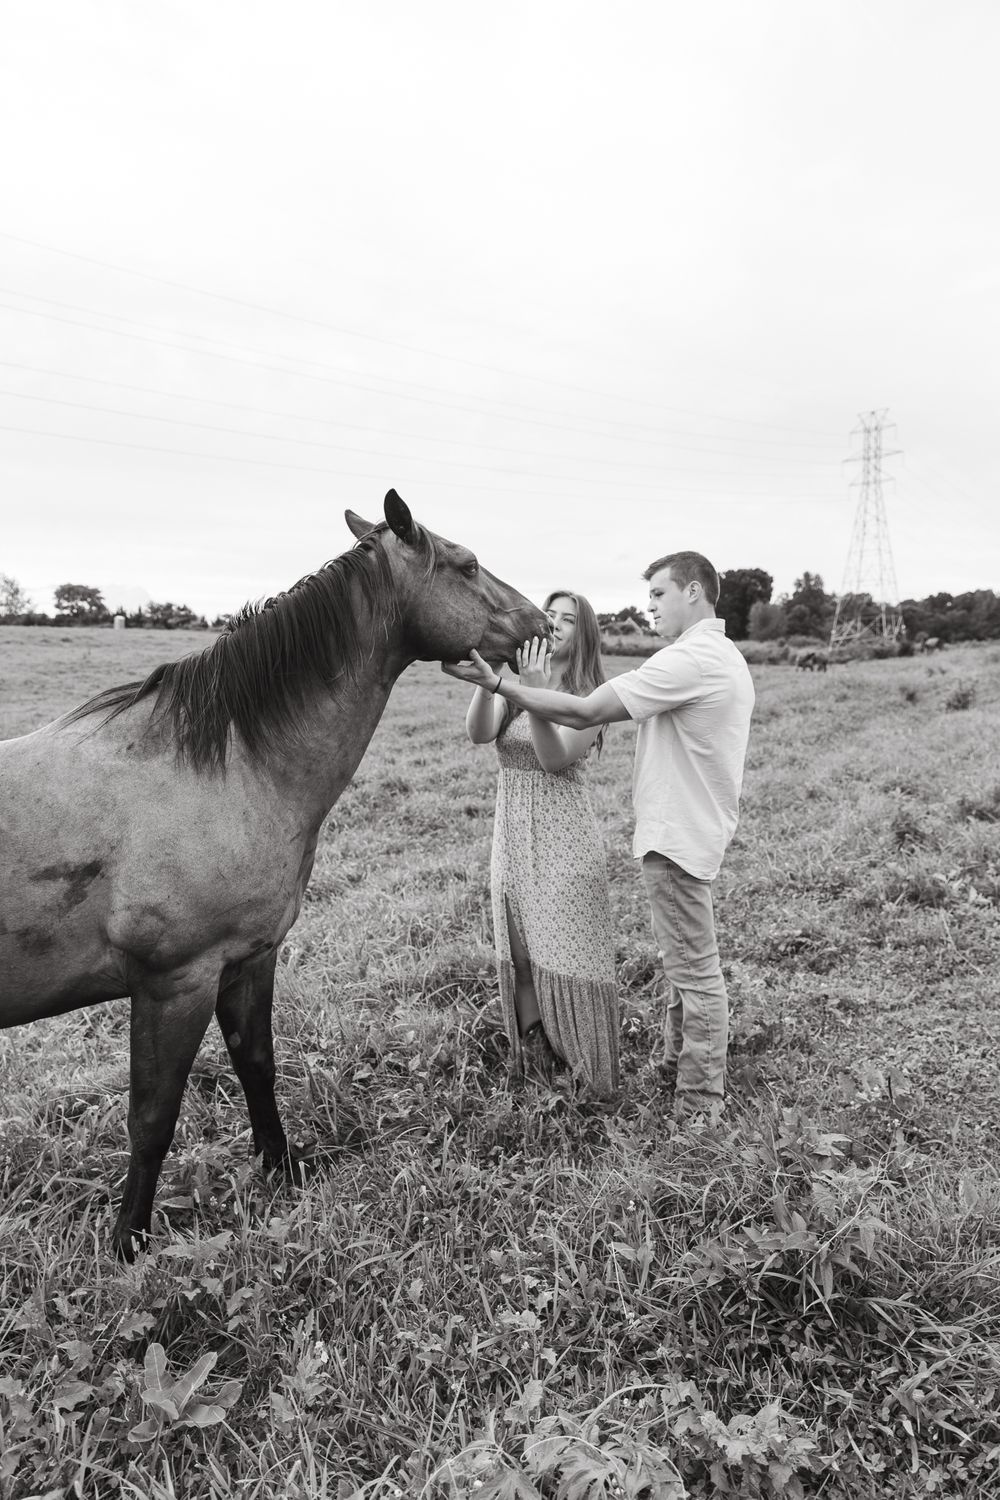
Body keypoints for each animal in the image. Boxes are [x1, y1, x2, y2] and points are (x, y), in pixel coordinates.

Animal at [0, 489, 547, 1258]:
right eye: (467, 565)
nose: (543, 622)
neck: (222, 769)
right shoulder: (176, 983)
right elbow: (152, 1117)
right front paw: (128, 1245)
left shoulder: (249, 960)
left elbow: (256, 1064)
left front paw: (283, 1173)